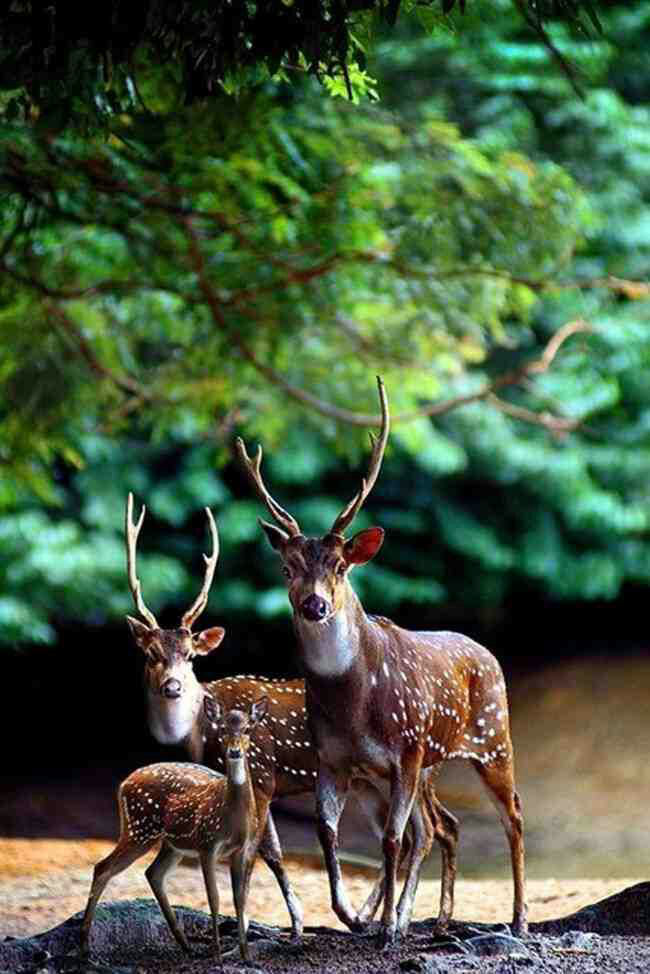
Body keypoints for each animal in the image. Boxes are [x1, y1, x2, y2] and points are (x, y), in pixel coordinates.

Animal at [80, 696, 268, 964]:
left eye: (248, 729)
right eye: (222, 729)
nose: (235, 752)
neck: (232, 819)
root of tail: (123, 783)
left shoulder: (241, 849)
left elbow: (240, 899)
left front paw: (246, 956)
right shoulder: (207, 844)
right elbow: (214, 898)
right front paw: (217, 955)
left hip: (171, 844)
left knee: (153, 873)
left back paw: (187, 946)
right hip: (140, 829)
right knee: (103, 867)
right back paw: (85, 947)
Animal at [121, 496, 456, 936]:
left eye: (191, 656)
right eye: (151, 655)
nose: (172, 687)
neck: (200, 732)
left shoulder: (261, 772)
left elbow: (266, 852)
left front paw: (281, 923)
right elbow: (269, 852)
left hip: (417, 769)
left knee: (430, 829)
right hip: (373, 781)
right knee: (430, 828)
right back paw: (389, 916)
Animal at [235, 378, 524, 948]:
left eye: (341, 566)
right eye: (286, 567)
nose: (315, 605)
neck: (354, 705)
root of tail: (487, 653)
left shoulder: (406, 749)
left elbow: (390, 840)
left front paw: (386, 925)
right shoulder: (335, 758)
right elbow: (328, 831)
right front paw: (351, 916)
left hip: (491, 738)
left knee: (511, 816)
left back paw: (517, 919)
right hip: (428, 763)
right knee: (441, 826)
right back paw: (434, 920)